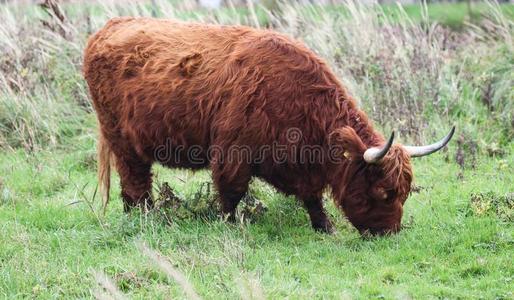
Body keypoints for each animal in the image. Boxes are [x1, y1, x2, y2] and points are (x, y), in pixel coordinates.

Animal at [84, 17, 452, 234]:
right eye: (383, 191)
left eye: (404, 192)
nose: (389, 232)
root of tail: (107, 28)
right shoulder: (232, 153)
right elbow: (231, 193)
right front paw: (230, 226)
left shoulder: (299, 163)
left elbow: (312, 197)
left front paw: (324, 226)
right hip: (123, 140)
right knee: (135, 182)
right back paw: (145, 218)